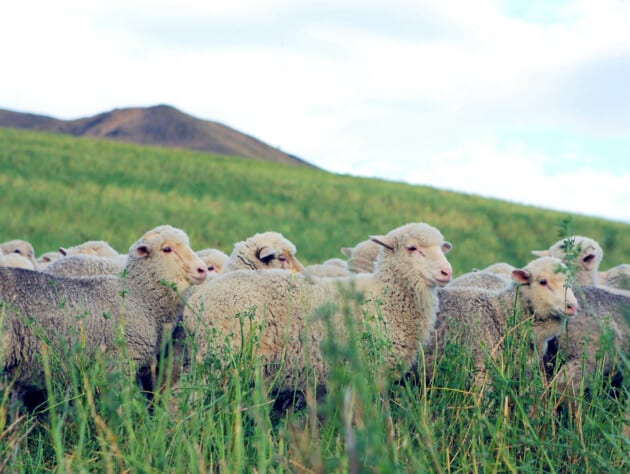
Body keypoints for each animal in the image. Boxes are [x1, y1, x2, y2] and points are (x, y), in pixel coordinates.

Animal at [183, 222, 454, 392]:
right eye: (412, 248)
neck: (385, 296)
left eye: (442, 248)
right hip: (220, 358)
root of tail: (195, 302)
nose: (446, 272)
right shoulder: (368, 370)